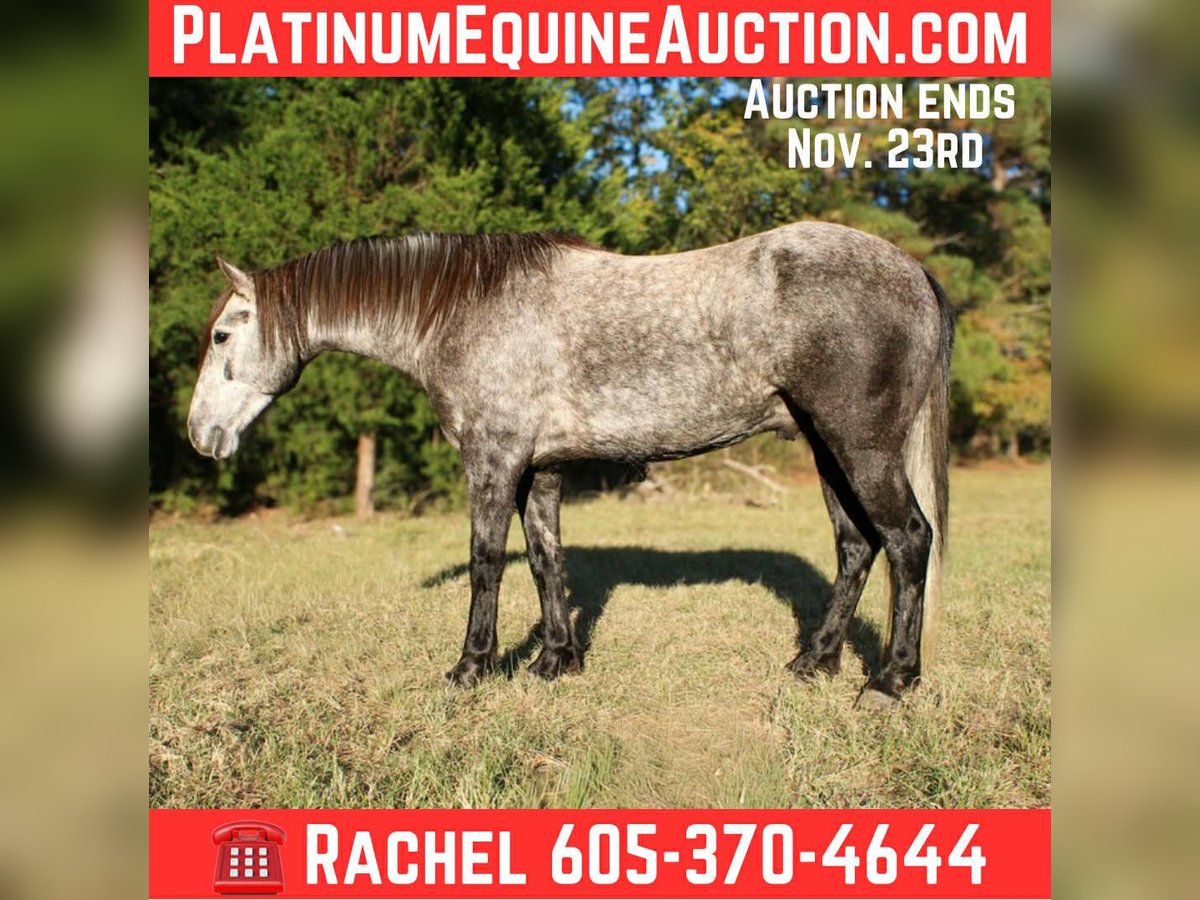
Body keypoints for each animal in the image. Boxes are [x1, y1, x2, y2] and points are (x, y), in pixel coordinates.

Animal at [186, 223, 954, 708]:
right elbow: (545, 557)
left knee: (908, 540)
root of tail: (913, 270)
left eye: (222, 335)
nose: (199, 435)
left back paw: (890, 681)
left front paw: (472, 668)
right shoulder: (541, 469)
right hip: (829, 451)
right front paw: (556, 661)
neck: (465, 310)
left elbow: (487, 561)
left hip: (861, 448)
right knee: (856, 546)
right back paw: (814, 662)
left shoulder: (494, 459)